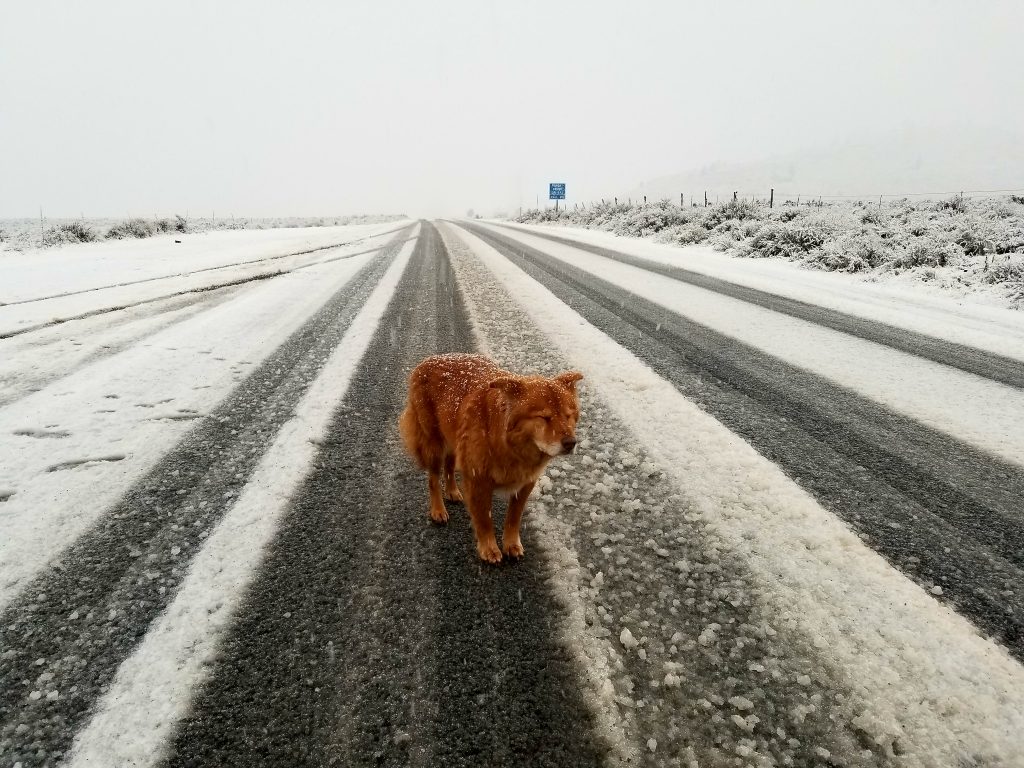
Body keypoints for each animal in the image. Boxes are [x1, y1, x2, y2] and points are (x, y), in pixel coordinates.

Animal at [399, 354, 585, 565]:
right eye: (544, 417)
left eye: (568, 416)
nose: (571, 443)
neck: (509, 445)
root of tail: (429, 360)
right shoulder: (477, 480)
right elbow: (484, 519)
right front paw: (489, 548)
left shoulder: (525, 483)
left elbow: (514, 517)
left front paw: (511, 544)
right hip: (434, 443)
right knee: (433, 480)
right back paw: (438, 509)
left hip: (455, 439)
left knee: (449, 466)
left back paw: (453, 491)